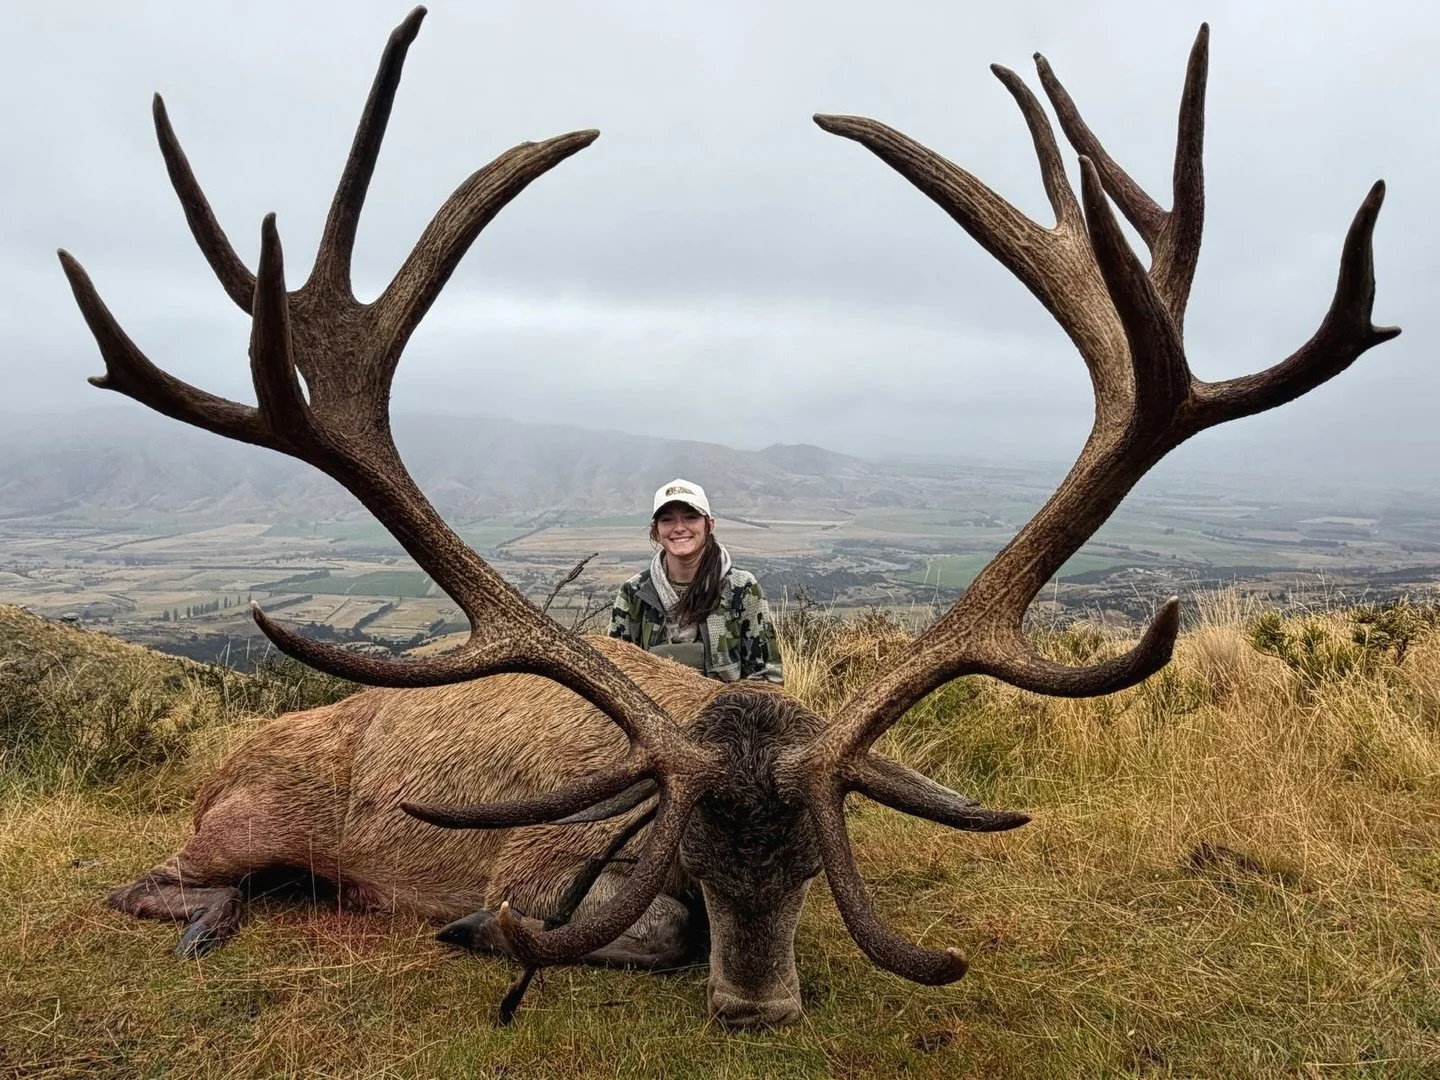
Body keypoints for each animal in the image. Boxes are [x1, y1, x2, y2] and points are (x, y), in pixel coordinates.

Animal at [59, 7, 1397, 1030]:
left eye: (812, 862)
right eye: (694, 857)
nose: (759, 1011)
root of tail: (222, 766)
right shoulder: (535, 862)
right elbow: (613, 930)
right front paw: (476, 930)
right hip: (244, 818)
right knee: (147, 882)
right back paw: (219, 914)